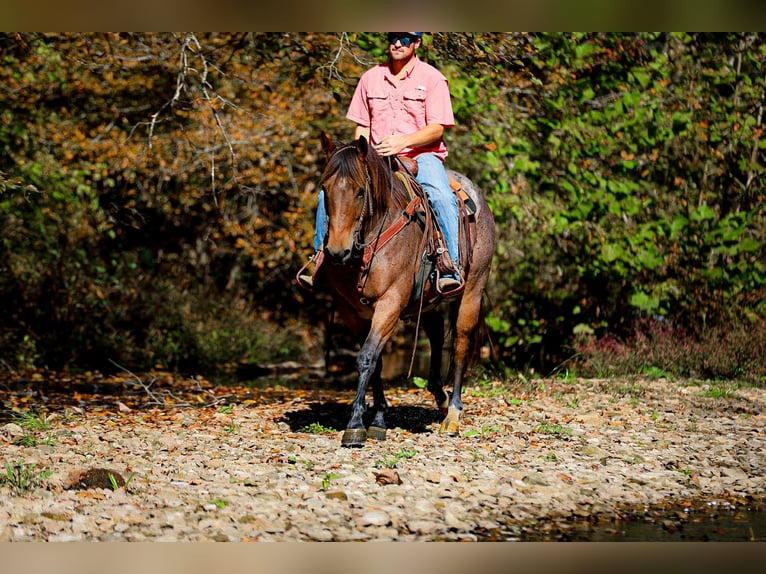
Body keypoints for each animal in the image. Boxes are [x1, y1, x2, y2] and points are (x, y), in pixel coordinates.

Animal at [311, 132, 495, 447]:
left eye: (360, 192)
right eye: (325, 188)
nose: (336, 251)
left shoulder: (391, 302)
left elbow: (366, 357)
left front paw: (356, 424)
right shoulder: (353, 311)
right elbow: (376, 362)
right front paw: (378, 419)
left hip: (473, 288)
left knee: (460, 342)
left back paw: (453, 415)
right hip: (427, 298)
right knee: (436, 330)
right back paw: (440, 396)